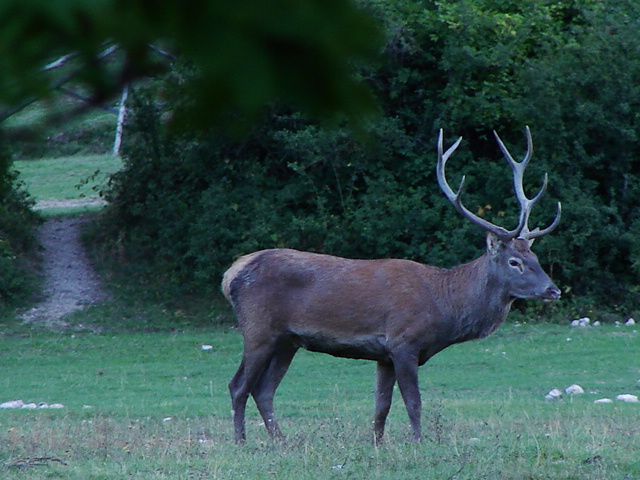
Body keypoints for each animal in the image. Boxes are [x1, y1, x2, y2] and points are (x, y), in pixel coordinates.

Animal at [222, 125, 564, 444]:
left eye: (534, 256)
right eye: (514, 262)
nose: (554, 290)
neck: (444, 306)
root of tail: (231, 275)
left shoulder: (383, 354)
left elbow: (381, 407)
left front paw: (377, 444)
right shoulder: (403, 341)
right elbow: (413, 402)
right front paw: (419, 442)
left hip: (287, 340)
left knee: (264, 390)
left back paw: (280, 441)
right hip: (259, 328)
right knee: (239, 385)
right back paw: (241, 441)